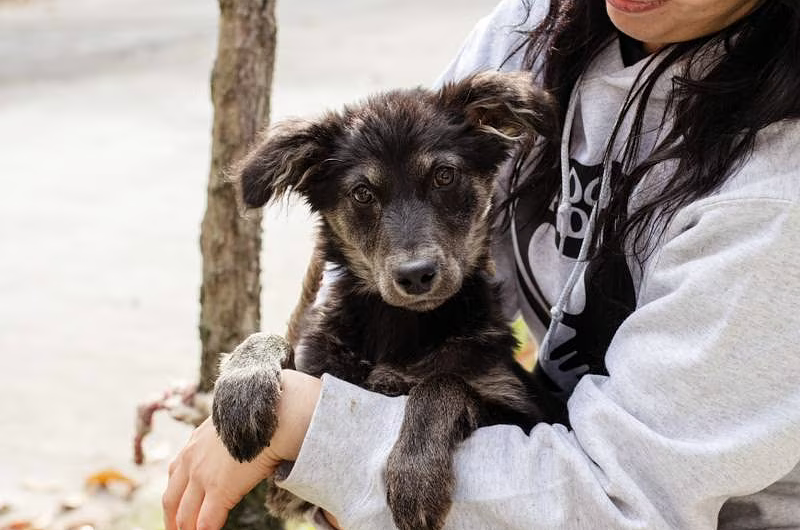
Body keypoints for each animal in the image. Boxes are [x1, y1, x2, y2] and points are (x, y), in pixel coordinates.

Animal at [209, 71, 564, 528]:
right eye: (362, 193)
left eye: (444, 176)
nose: (415, 275)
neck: (404, 325)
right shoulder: (287, 482)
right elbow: (272, 339)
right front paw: (242, 387)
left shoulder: (523, 413)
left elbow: (442, 383)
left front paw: (415, 477)